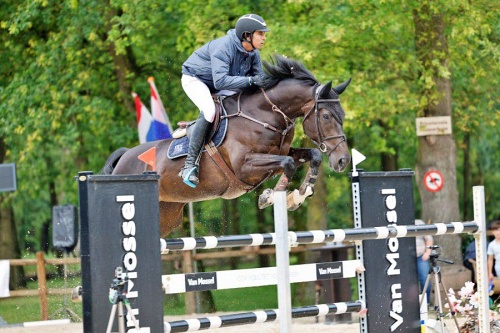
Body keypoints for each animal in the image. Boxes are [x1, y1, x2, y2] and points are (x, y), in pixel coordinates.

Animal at [102, 55, 352, 236]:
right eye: (327, 116)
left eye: (343, 114)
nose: (343, 160)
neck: (263, 115)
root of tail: (123, 158)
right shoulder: (245, 166)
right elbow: (289, 163)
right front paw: (270, 197)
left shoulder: (276, 156)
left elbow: (311, 156)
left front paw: (298, 195)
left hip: (167, 214)